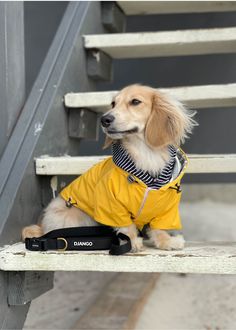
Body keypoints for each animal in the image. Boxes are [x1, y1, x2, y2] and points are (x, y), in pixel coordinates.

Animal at [22, 84, 196, 251]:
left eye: (135, 102)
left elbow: (159, 228)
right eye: (113, 103)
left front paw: (166, 241)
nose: (105, 119)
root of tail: (43, 226)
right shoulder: (112, 204)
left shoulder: (166, 209)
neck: (145, 153)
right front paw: (131, 241)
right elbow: (126, 226)